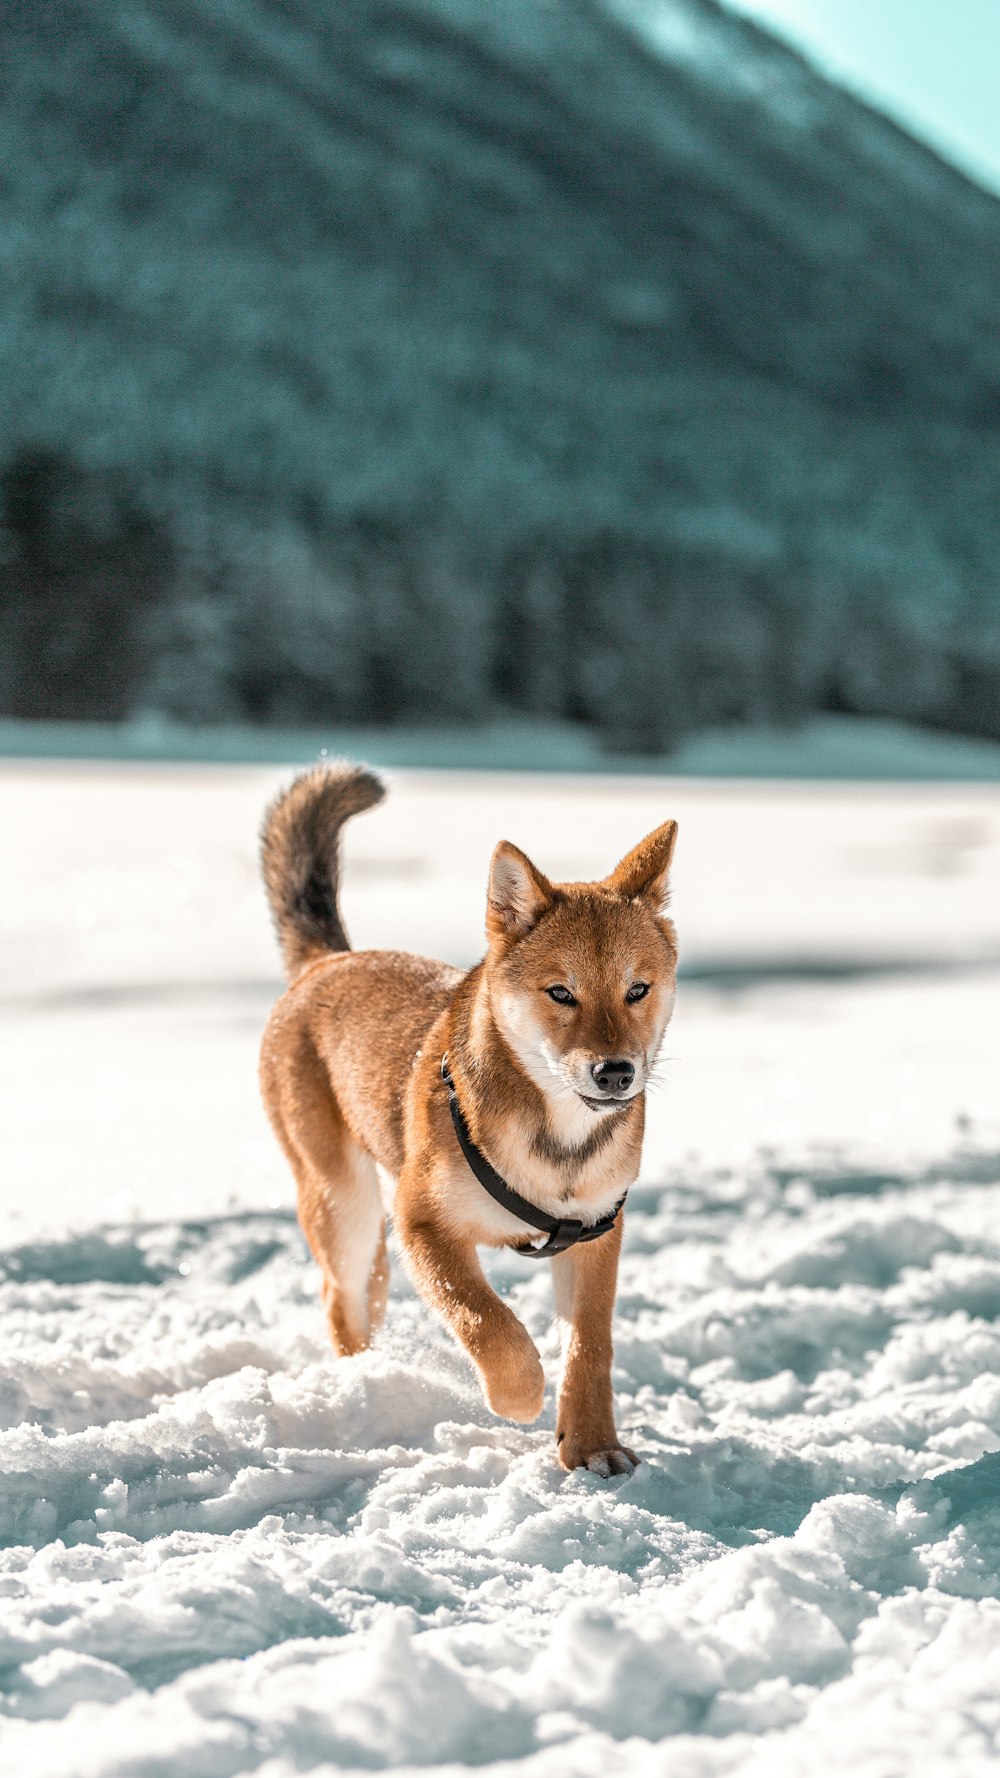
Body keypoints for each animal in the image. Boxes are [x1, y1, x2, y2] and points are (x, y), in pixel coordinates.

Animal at [256, 764, 676, 1472]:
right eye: (561, 992)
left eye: (637, 990)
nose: (615, 1073)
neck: (554, 1142)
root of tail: (327, 961)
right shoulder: (424, 1224)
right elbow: (491, 1325)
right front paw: (520, 1398)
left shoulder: (597, 1232)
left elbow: (590, 1347)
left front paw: (593, 1446)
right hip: (345, 1201)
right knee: (339, 1302)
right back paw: (363, 1384)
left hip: (372, 1237)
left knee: (364, 1297)